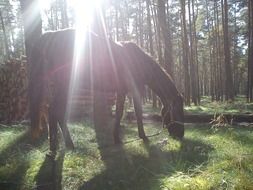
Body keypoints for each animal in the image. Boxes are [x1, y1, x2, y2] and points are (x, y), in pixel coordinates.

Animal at [29, 28, 184, 155]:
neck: (139, 62)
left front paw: (116, 138)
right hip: (65, 86)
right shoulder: (136, 90)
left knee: (53, 111)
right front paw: (143, 136)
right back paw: (65, 145)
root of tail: (51, 36)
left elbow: (119, 113)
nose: (180, 135)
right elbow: (138, 113)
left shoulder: (121, 91)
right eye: (178, 111)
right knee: (55, 111)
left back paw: (56, 146)